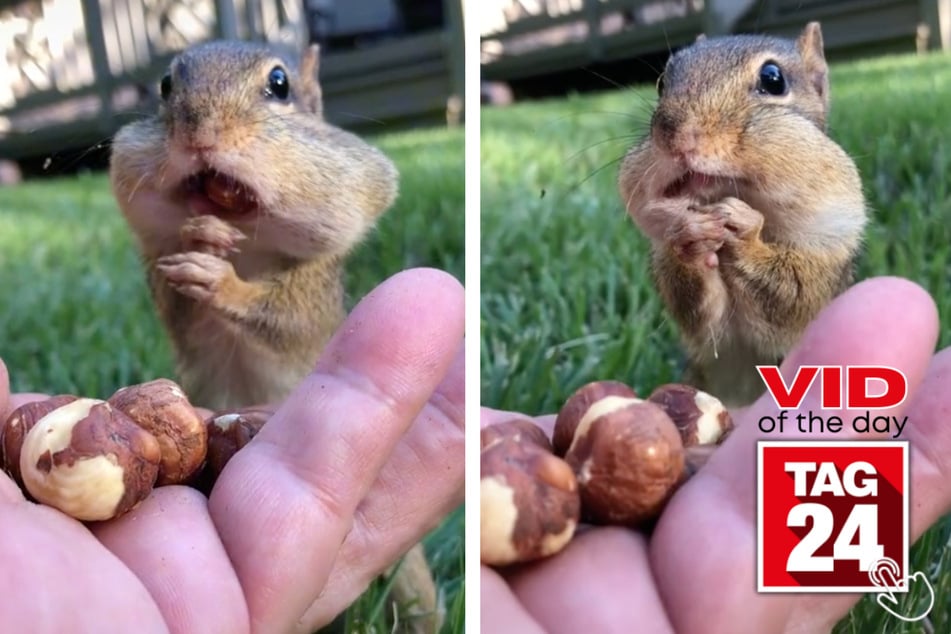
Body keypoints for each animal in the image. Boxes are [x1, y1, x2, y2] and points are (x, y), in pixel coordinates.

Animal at [109, 41, 440, 633]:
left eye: (280, 84)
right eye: (166, 86)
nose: (199, 136)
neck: (248, 244)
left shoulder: (310, 294)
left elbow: (279, 316)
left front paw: (222, 280)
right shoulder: (161, 278)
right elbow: (181, 300)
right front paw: (200, 234)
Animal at [618, 22, 867, 406]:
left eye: (773, 79)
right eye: (661, 82)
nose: (674, 135)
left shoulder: (830, 246)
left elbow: (793, 300)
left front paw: (745, 233)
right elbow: (700, 321)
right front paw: (689, 236)